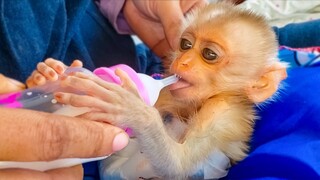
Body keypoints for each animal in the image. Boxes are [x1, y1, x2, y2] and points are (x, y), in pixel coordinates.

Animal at [44, 1, 288, 180]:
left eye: (209, 54)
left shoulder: (224, 113)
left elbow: (179, 166)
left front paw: (131, 108)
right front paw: (48, 73)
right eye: (185, 45)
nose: (183, 61)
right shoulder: (171, 91)